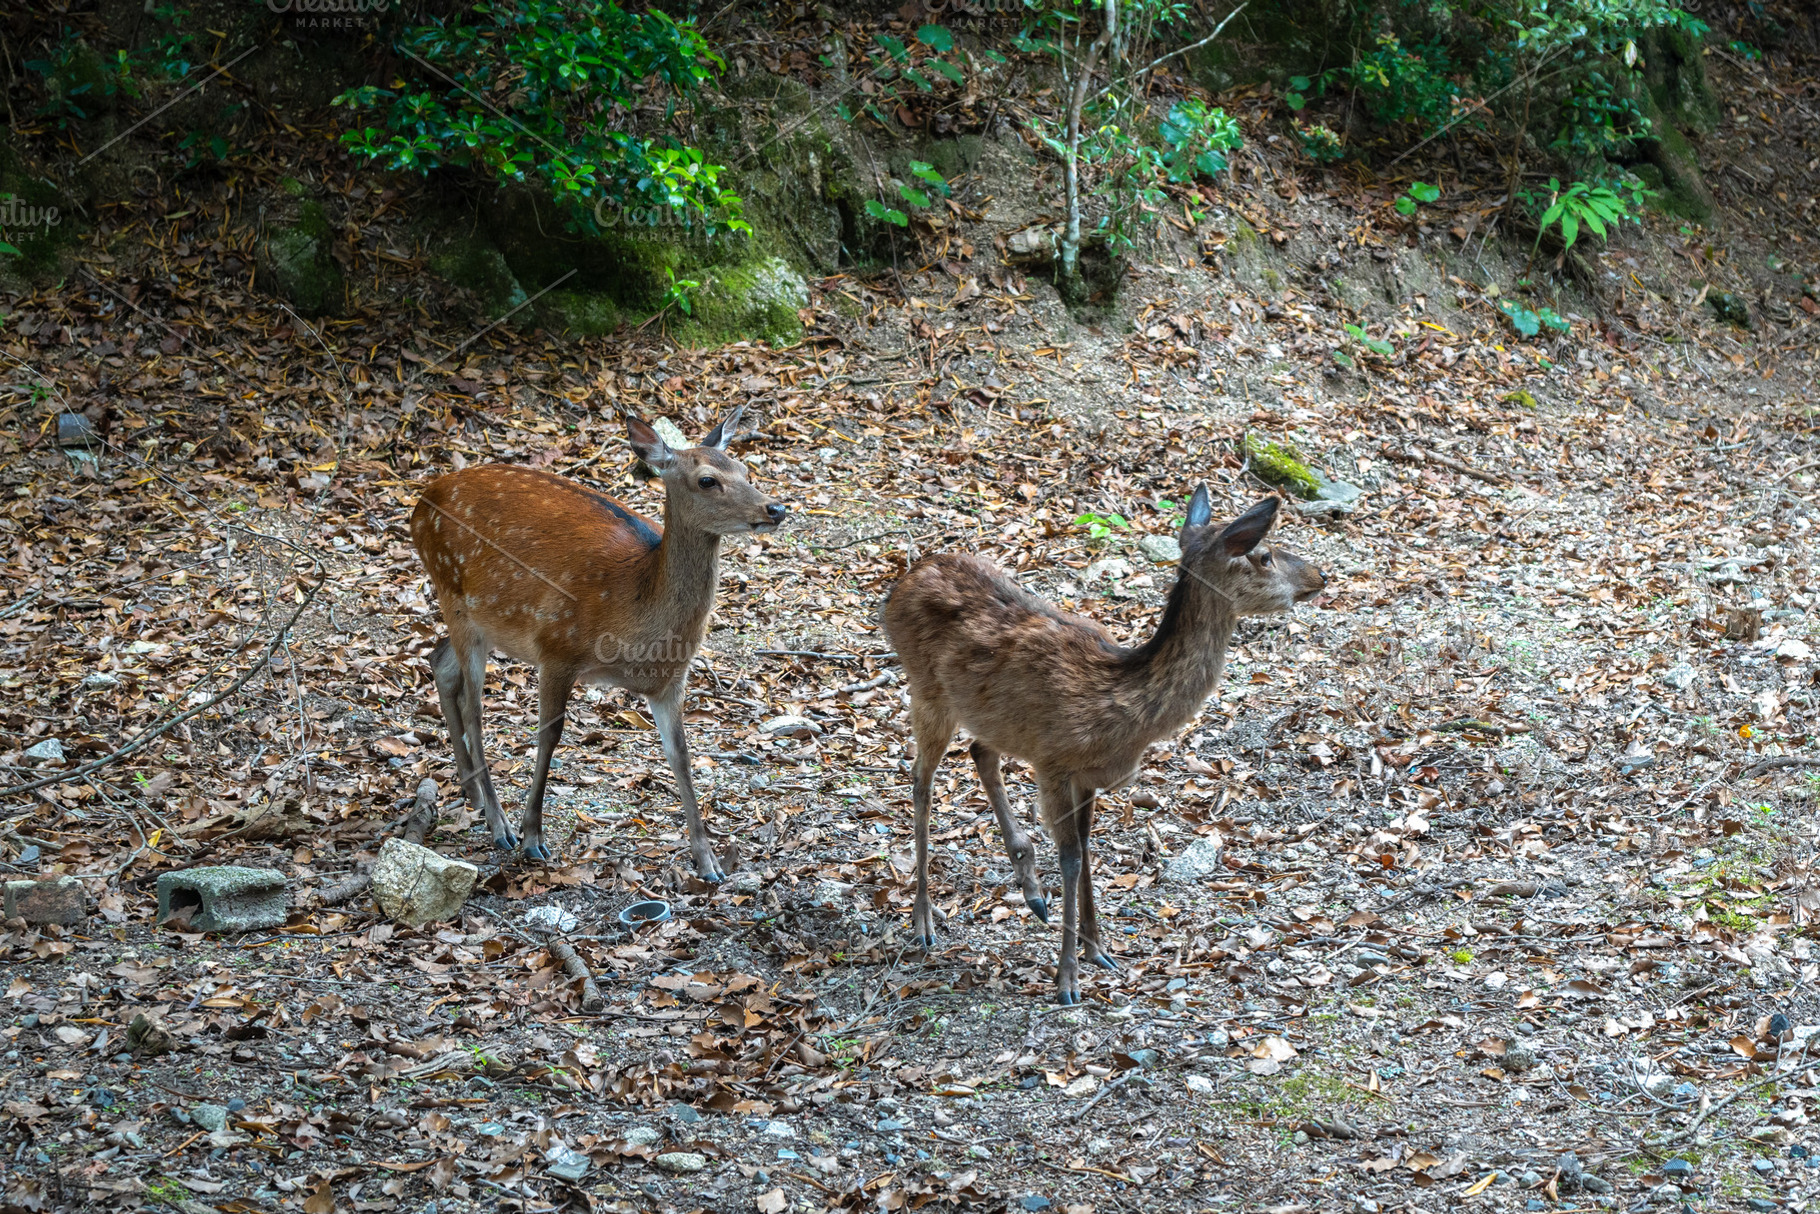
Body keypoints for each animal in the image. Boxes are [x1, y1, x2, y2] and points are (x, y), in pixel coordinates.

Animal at [408, 409, 786, 875]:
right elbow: (550, 735)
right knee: (473, 707)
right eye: (707, 480)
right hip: (454, 594)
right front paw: (533, 838)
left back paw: (473, 793)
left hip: (476, 619)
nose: (775, 508)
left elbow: (680, 754)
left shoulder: (670, 680)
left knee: (439, 660)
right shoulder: (556, 648)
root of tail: (420, 503)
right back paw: (500, 825)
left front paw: (708, 861)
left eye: (747, 470)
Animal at [882, 490, 1324, 1004]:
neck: (1125, 714)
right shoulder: (1053, 761)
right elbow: (1072, 857)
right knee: (921, 780)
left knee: (979, 752)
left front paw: (1099, 949)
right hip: (927, 688)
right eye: (1265, 555)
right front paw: (1067, 979)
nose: (1320, 576)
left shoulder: (1088, 774)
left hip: (989, 717)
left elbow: (1089, 847)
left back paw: (1031, 890)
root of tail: (902, 582)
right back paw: (924, 921)